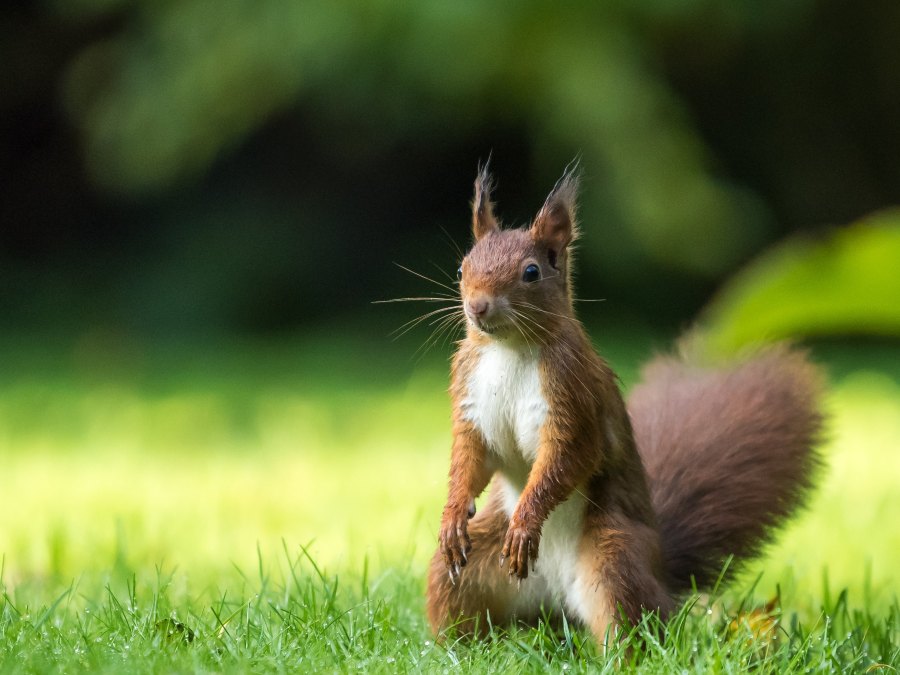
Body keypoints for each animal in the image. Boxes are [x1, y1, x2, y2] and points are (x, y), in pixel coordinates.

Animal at [426, 162, 828, 644]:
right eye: (462, 267)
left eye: (531, 272)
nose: (478, 306)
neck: (509, 349)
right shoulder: (470, 395)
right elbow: (470, 456)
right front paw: (452, 516)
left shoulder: (574, 394)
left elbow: (568, 457)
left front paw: (526, 524)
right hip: (471, 568)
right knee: (456, 594)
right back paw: (457, 646)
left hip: (613, 557)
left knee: (633, 621)